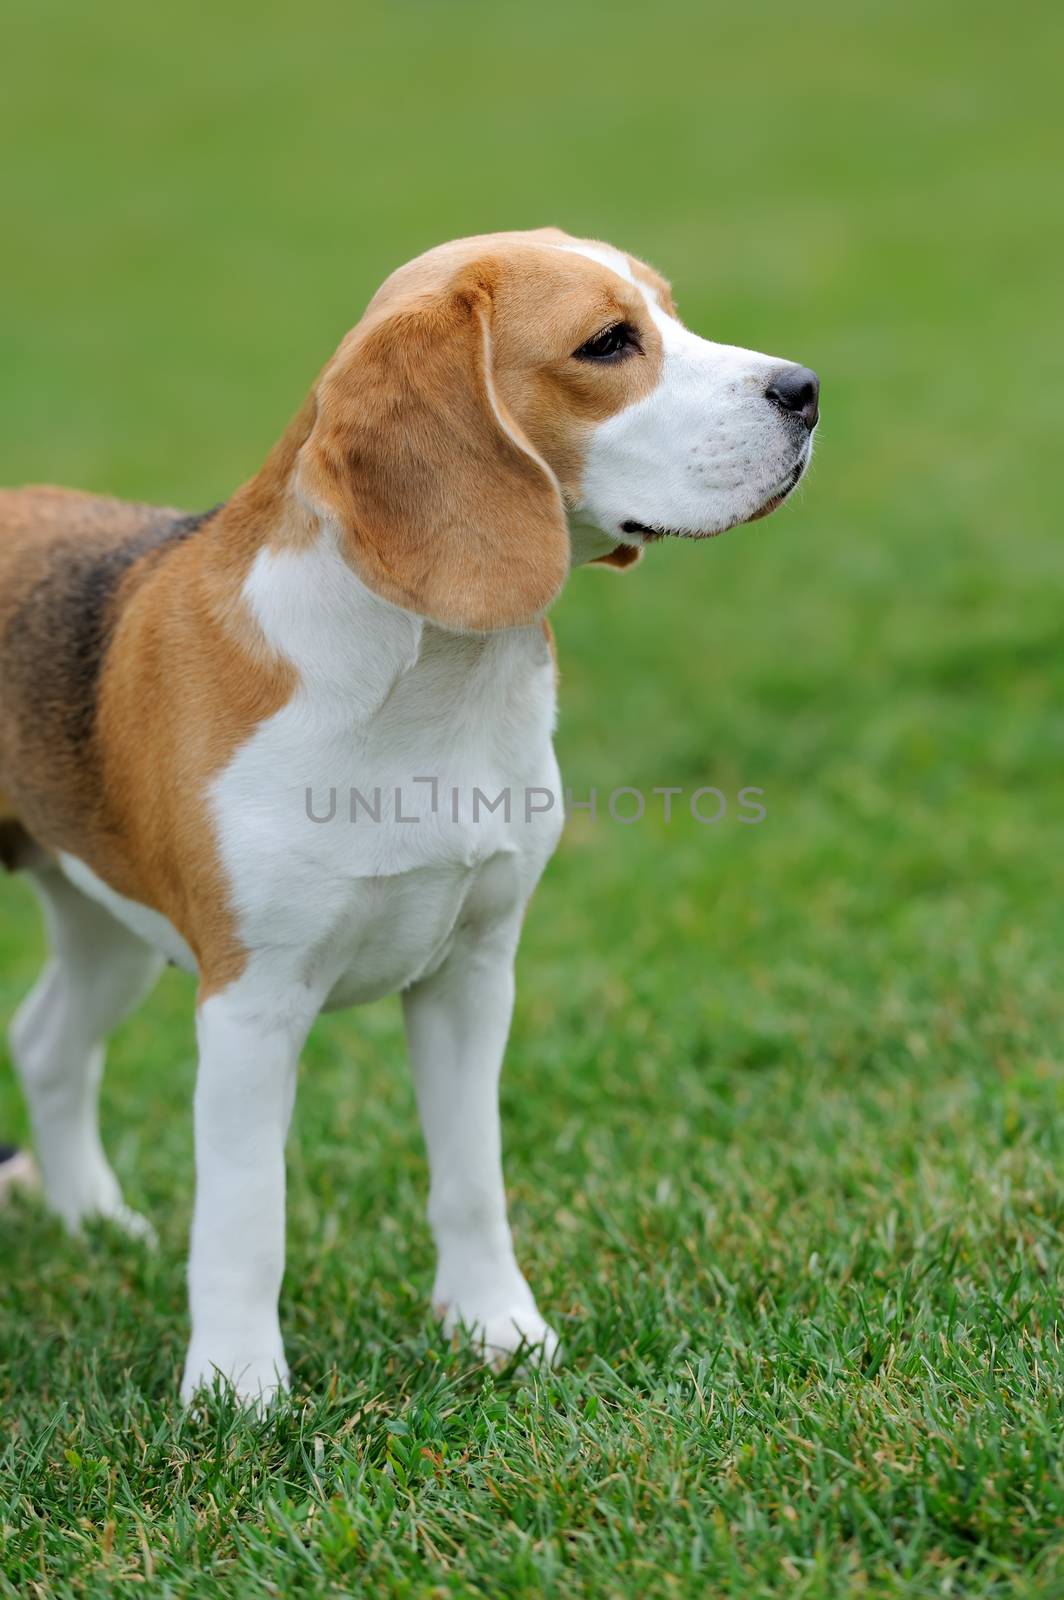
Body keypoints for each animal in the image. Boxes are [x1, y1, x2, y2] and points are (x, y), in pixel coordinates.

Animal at [0, 225, 816, 1401]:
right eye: (608, 342)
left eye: (671, 310)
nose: (805, 390)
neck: (431, 679)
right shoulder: (251, 1004)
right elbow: (246, 1217)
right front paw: (238, 1392)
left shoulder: (471, 973)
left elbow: (471, 1177)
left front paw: (496, 1329)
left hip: (107, 921)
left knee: (47, 1044)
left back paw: (92, 1223)